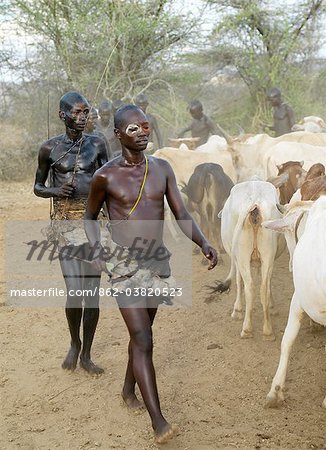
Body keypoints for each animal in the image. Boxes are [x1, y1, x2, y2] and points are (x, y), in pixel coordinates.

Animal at [215, 181, 282, 340]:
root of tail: (255, 203)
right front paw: (272, 307)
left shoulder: (238, 260)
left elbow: (239, 282)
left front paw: (237, 310)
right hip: (267, 254)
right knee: (263, 288)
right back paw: (268, 331)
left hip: (243, 256)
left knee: (249, 286)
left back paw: (247, 329)